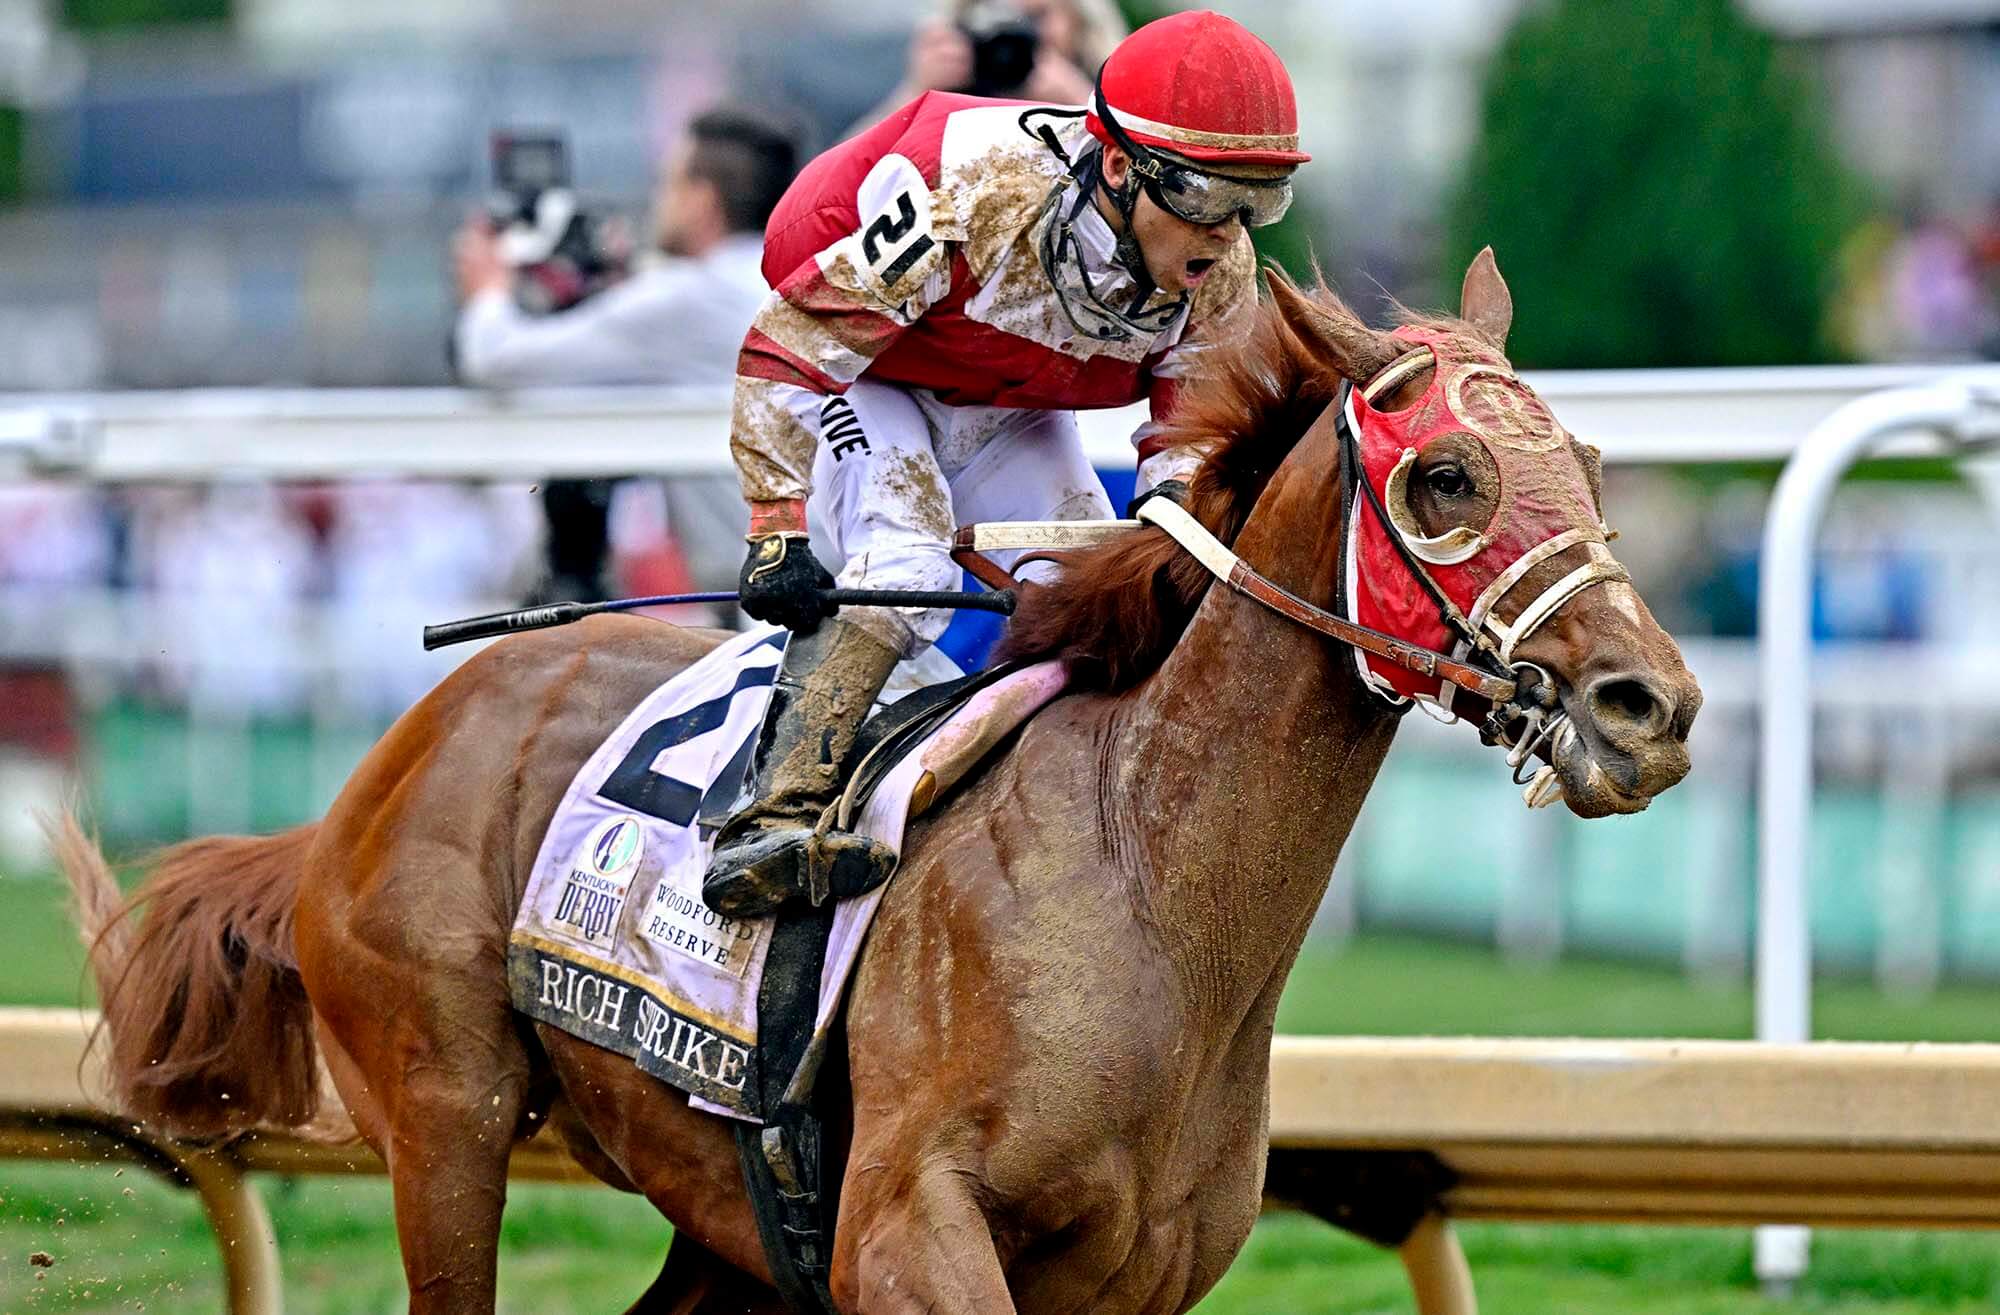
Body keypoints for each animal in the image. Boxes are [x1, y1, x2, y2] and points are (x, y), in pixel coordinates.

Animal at [59, 250, 1699, 1315]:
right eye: (1446, 478)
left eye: (1589, 464)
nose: (1652, 704)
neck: (1148, 888)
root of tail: (370, 777)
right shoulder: (905, 1228)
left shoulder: (1118, 1279)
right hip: (443, 1116)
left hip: (714, 1217)